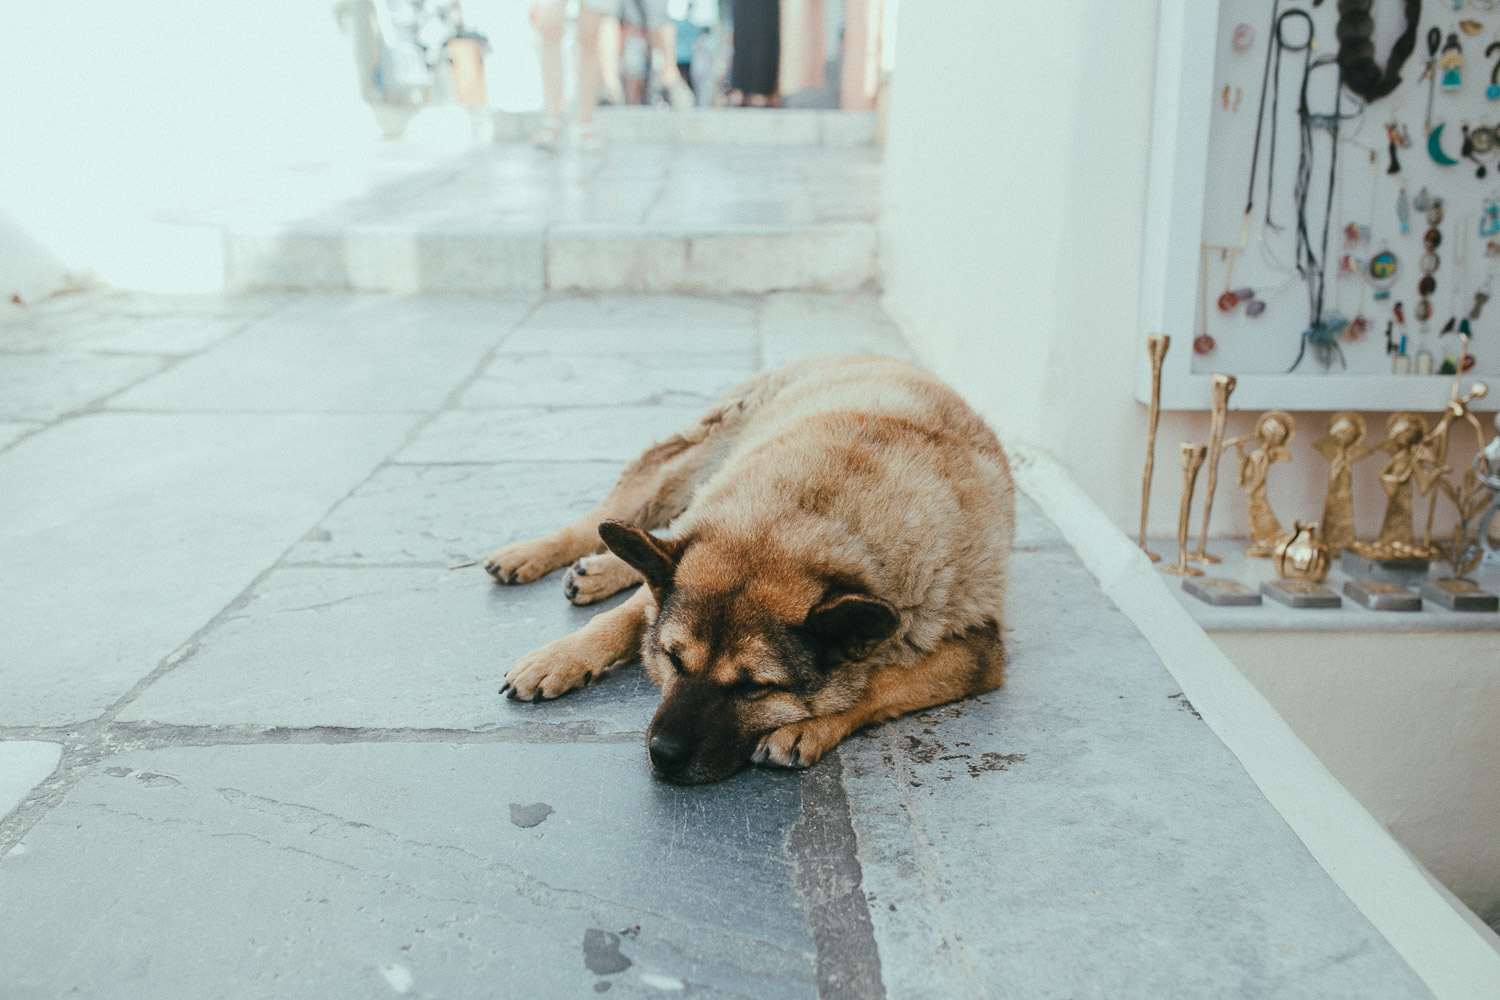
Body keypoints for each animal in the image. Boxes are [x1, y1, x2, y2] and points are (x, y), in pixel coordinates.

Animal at [486, 355, 1014, 785]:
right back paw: (532, 555)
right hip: (683, 470)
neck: (807, 516)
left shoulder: (976, 653)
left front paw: (807, 726)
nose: (663, 756)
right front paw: (561, 656)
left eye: (754, 688)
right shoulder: (702, 544)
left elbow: (877, 685)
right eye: (673, 660)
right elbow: (629, 613)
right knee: (606, 521)